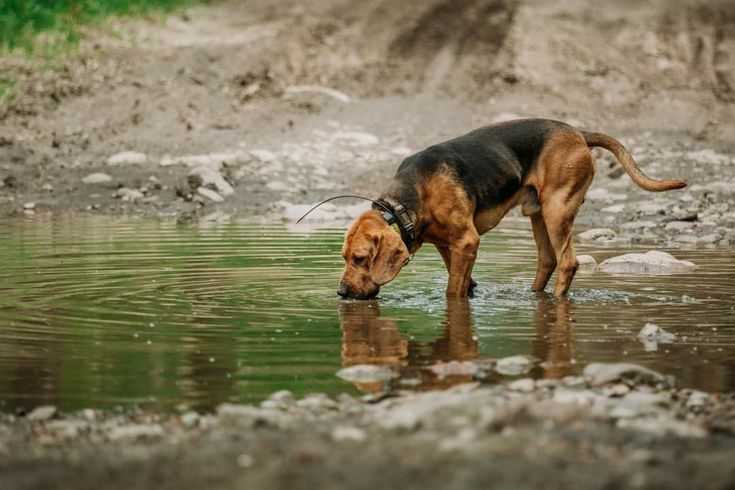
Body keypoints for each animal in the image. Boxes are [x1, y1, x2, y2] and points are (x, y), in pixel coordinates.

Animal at [336, 120, 688, 300]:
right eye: (345, 257)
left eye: (360, 259)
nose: (340, 292)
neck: (406, 202)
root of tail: (578, 133)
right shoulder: (450, 246)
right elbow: (460, 278)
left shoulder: (467, 240)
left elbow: (452, 291)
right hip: (538, 215)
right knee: (547, 261)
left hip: (557, 209)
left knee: (568, 262)